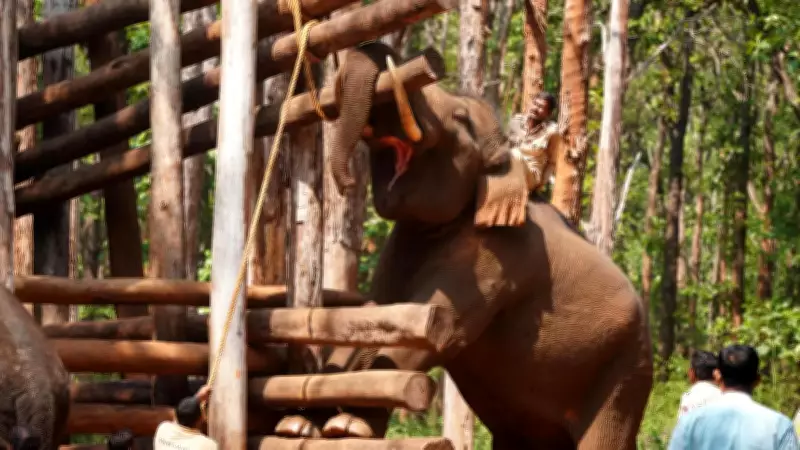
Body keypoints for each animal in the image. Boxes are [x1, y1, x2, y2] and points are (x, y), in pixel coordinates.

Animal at [277, 42, 653, 449]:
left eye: (459, 118)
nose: (345, 185)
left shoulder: (497, 257)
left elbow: (437, 327)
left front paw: (348, 426)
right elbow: (375, 314)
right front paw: (299, 424)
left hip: (624, 370)